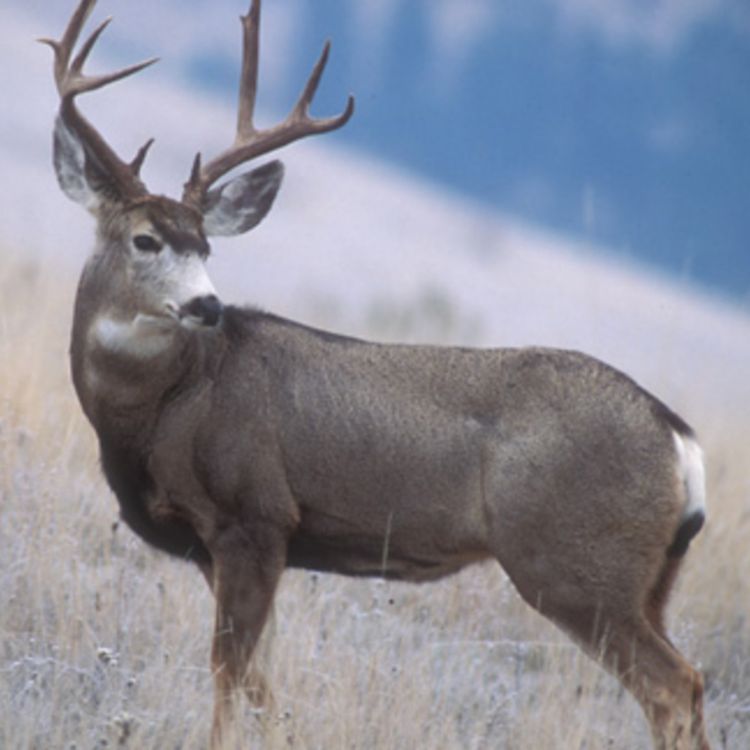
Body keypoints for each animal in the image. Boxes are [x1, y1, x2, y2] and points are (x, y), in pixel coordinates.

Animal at [42, 1, 711, 748]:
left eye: (206, 247)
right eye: (146, 240)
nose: (207, 305)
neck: (167, 409)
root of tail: (677, 438)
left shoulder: (254, 518)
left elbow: (229, 672)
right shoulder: (231, 549)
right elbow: (262, 682)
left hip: (576, 562)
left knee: (674, 684)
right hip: (652, 578)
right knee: (682, 683)